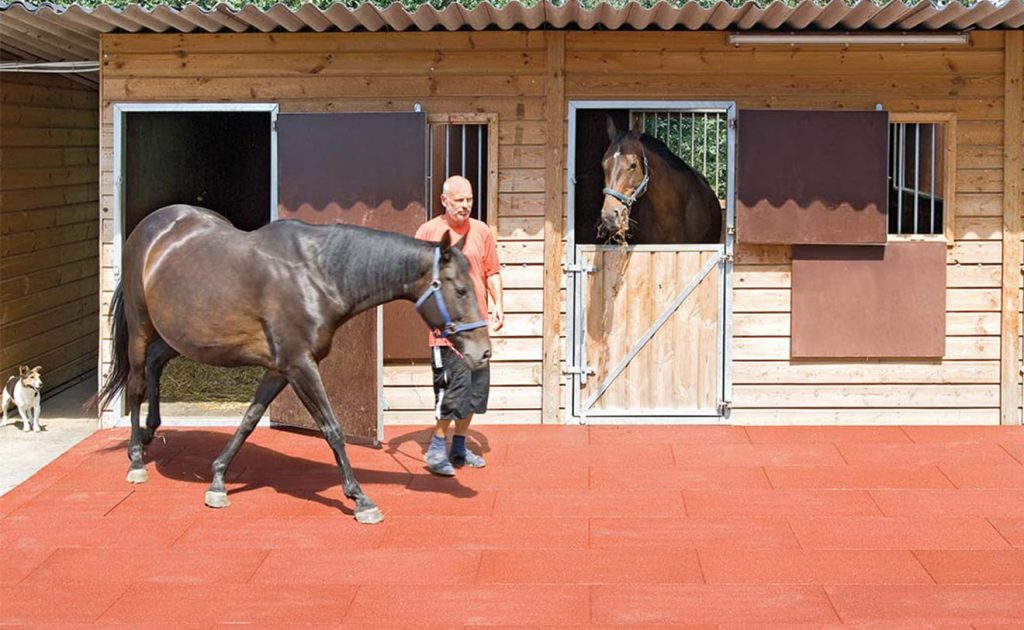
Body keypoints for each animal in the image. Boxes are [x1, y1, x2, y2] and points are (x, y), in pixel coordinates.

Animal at [96, 204, 491, 525]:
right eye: (460, 290)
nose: (483, 352)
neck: (318, 274)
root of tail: (151, 228)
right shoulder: (300, 365)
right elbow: (332, 428)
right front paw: (360, 499)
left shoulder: (280, 369)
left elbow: (250, 420)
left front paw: (219, 479)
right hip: (141, 327)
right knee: (136, 384)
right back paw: (136, 459)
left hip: (178, 335)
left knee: (155, 365)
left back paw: (150, 433)